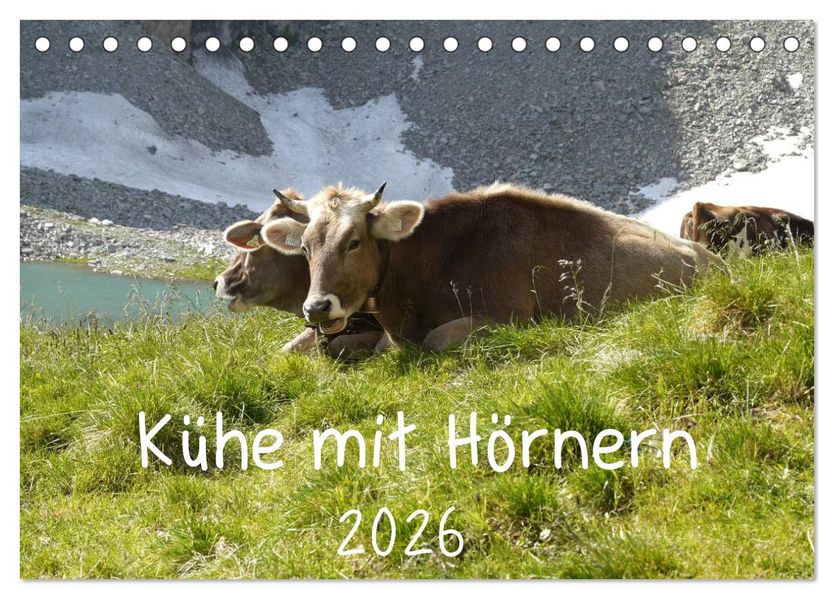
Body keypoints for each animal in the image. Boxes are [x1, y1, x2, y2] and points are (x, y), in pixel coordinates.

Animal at [259, 182, 726, 352]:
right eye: (305, 248)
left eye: (353, 241)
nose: (317, 308)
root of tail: (711, 259)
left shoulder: (509, 317)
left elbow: (433, 340)